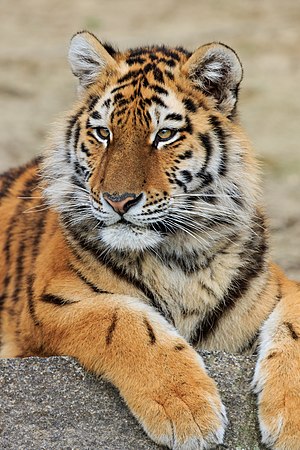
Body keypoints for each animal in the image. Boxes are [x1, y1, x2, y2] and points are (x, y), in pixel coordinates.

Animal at [0, 29, 300, 448]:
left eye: (164, 135)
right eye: (103, 133)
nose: (118, 199)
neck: (181, 254)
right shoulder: (45, 305)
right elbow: (121, 319)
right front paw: (187, 409)